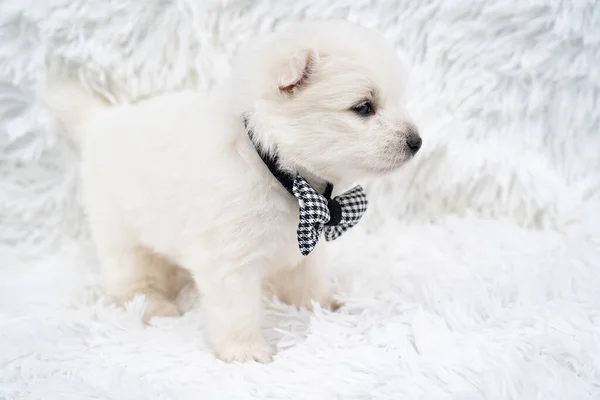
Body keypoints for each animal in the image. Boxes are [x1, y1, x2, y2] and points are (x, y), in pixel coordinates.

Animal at [44, 20, 422, 362]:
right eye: (363, 107)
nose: (417, 142)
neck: (279, 170)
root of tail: (100, 123)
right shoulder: (229, 259)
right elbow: (238, 310)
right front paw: (246, 351)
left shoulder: (306, 245)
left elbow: (308, 280)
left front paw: (322, 305)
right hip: (121, 238)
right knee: (132, 282)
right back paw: (156, 306)